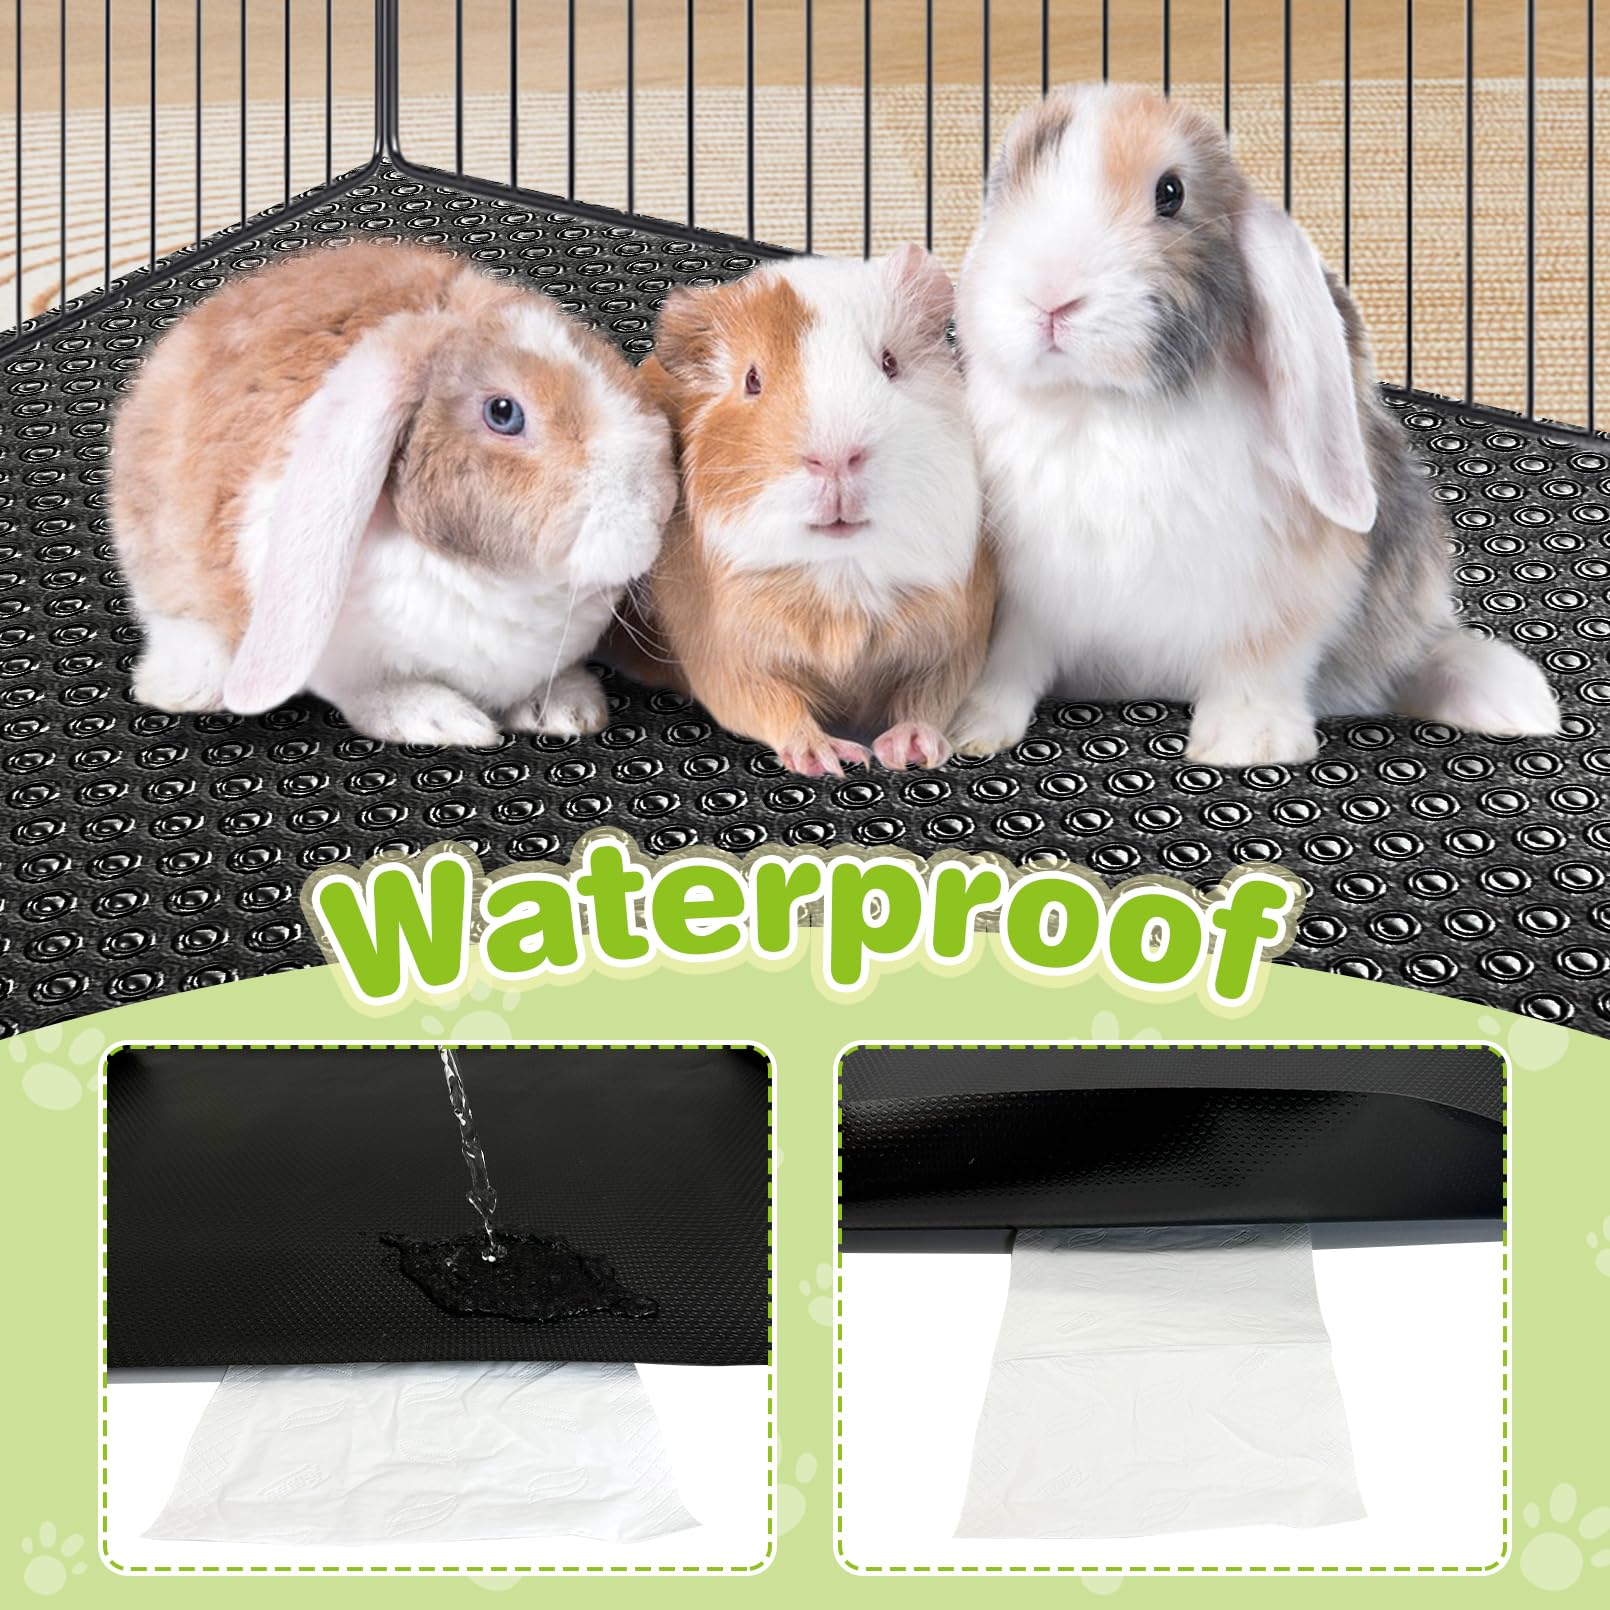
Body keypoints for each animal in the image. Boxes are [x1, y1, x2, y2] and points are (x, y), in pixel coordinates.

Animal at [110, 238, 676, 747]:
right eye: (503, 413)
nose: (658, 507)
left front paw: (562, 708)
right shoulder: (339, 653)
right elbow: (375, 691)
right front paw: (439, 720)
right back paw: (185, 684)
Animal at [614, 246, 994, 776]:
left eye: (890, 363)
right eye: (752, 380)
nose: (835, 458)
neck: (843, 574)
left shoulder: (953, 644)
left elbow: (928, 700)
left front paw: (908, 750)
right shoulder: (729, 656)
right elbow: (772, 705)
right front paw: (829, 757)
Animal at [950, 82, 1560, 767]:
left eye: (1171, 192)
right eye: (1003, 187)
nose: (1048, 296)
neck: (1104, 403)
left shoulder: (1279, 595)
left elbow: (1258, 664)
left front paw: (1249, 742)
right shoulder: (1022, 599)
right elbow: (1008, 665)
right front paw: (971, 728)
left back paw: (1509, 701)